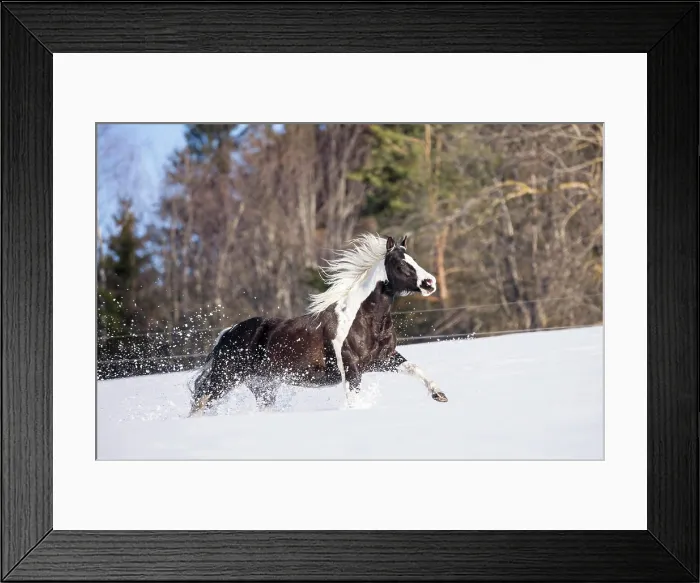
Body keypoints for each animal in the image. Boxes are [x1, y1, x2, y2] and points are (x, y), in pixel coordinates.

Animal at [188, 233, 448, 416]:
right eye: (400, 265)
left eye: (414, 260)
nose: (430, 283)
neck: (362, 320)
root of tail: (228, 333)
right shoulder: (351, 369)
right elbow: (353, 400)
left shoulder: (384, 359)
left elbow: (414, 368)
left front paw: (439, 395)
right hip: (224, 379)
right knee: (200, 403)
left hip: (263, 386)